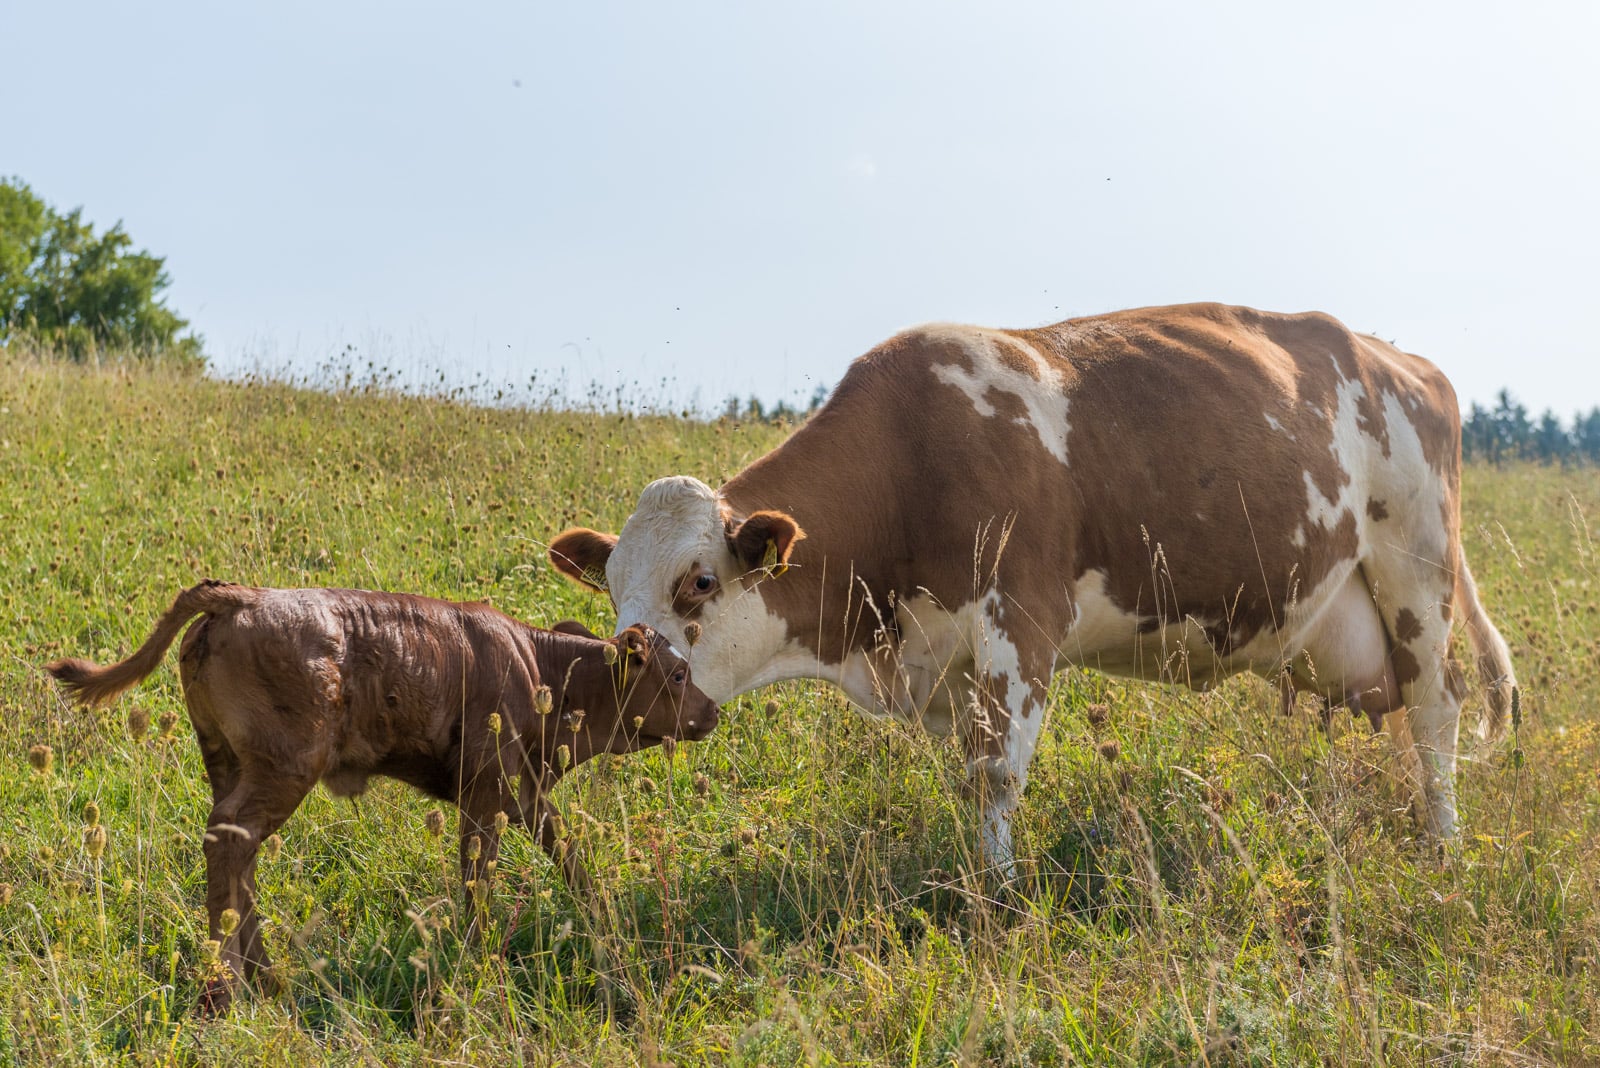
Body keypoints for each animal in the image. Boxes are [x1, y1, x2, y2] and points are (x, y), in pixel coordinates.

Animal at [46, 578, 720, 1016]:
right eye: (678, 673)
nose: (712, 712)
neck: (543, 671)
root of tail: (245, 595)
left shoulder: (524, 794)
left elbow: (569, 854)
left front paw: (605, 920)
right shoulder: (483, 796)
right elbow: (478, 878)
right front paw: (479, 957)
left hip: (228, 763)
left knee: (237, 854)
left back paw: (265, 979)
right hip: (282, 769)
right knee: (229, 843)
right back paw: (230, 986)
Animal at [556, 302, 1516, 876]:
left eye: (699, 581)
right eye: (611, 590)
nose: (620, 682)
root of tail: (1400, 359)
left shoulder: (1022, 619)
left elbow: (994, 774)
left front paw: (1001, 894)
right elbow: (972, 773)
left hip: (1416, 568)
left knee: (1435, 712)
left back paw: (1443, 847)